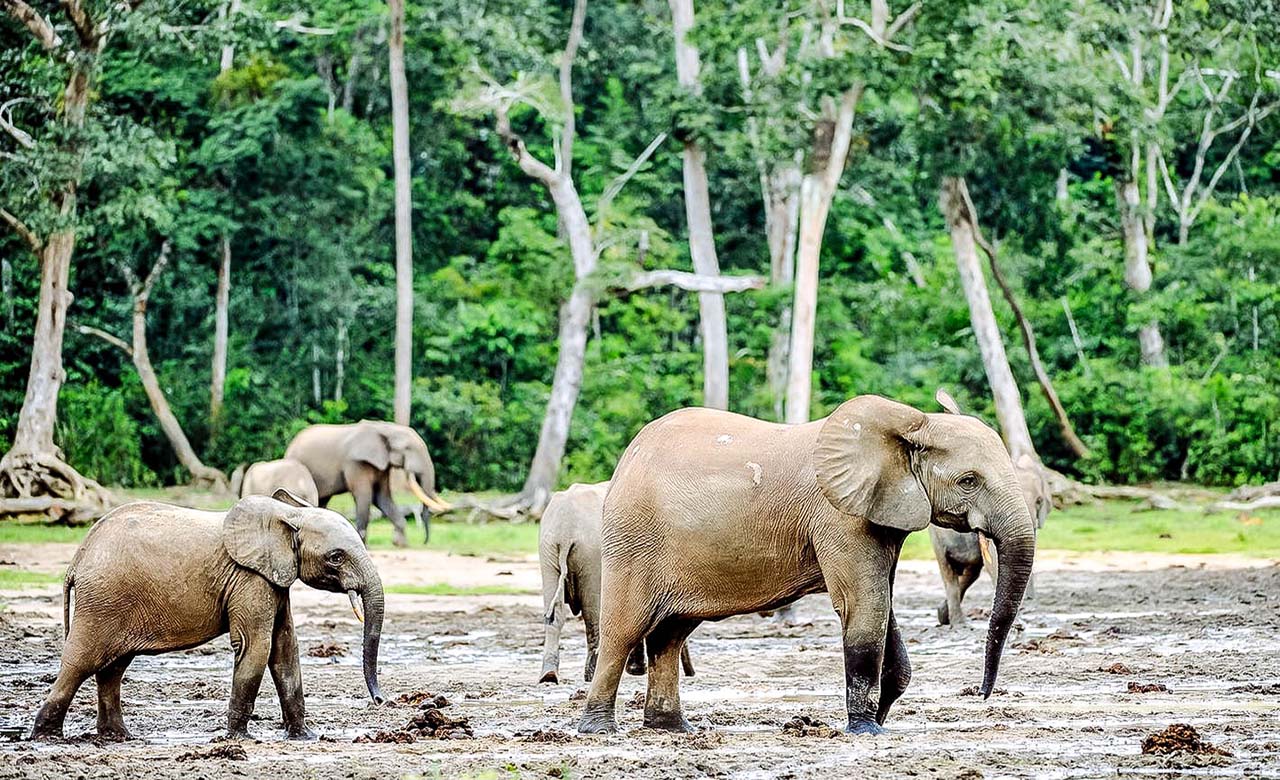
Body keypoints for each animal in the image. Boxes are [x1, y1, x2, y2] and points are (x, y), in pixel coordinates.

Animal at [286, 422, 455, 545]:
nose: (424, 542)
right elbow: (365, 496)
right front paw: (363, 544)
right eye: (408, 448)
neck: (387, 429)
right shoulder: (355, 463)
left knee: (322, 501)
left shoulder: (383, 465)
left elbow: (382, 497)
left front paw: (400, 544)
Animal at [537, 476, 696, 686]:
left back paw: (549, 677)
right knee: (593, 612)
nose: (691, 674)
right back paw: (590, 675)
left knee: (554, 613)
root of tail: (565, 532)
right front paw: (637, 670)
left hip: (548, 550)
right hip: (590, 554)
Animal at [581, 394, 1039, 737]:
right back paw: (599, 730)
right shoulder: (838, 516)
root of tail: (629, 455)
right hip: (632, 538)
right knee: (625, 630)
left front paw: (880, 717)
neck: (912, 424)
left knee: (670, 634)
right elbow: (865, 607)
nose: (982, 694)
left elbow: (882, 606)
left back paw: (673, 729)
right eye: (968, 481)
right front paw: (865, 730)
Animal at [931, 389, 1049, 627]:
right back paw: (958, 623)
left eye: (1039, 501)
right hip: (936, 537)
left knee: (970, 572)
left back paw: (944, 615)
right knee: (948, 570)